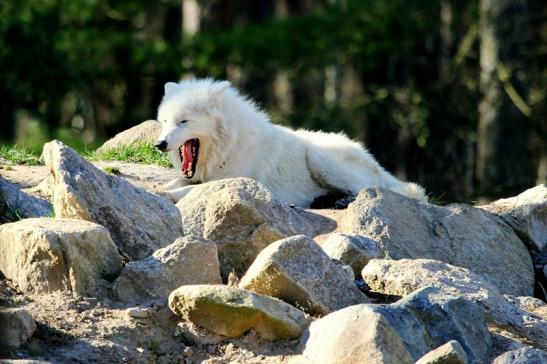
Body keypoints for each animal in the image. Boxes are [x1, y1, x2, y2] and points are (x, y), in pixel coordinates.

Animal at [155, 78, 428, 206]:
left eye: (184, 122)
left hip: (320, 160)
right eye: (165, 121)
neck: (230, 146)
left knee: (373, 190)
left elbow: (190, 190)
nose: (159, 144)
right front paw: (160, 188)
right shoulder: (195, 175)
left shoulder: (235, 180)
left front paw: (166, 194)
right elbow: (178, 182)